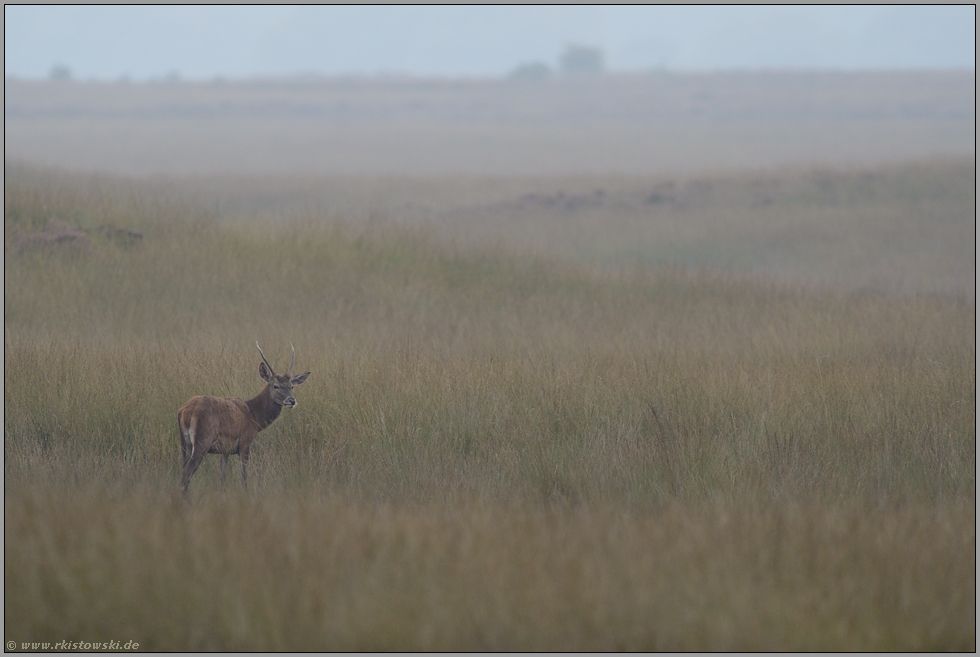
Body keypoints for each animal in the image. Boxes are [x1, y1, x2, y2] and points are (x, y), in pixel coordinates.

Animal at [178, 340, 310, 494]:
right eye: (276, 386)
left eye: (291, 386)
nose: (291, 400)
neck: (254, 416)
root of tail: (186, 411)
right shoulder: (245, 441)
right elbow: (244, 475)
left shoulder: (225, 451)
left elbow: (223, 478)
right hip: (202, 440)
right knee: (187, 473)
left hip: (184, 443)